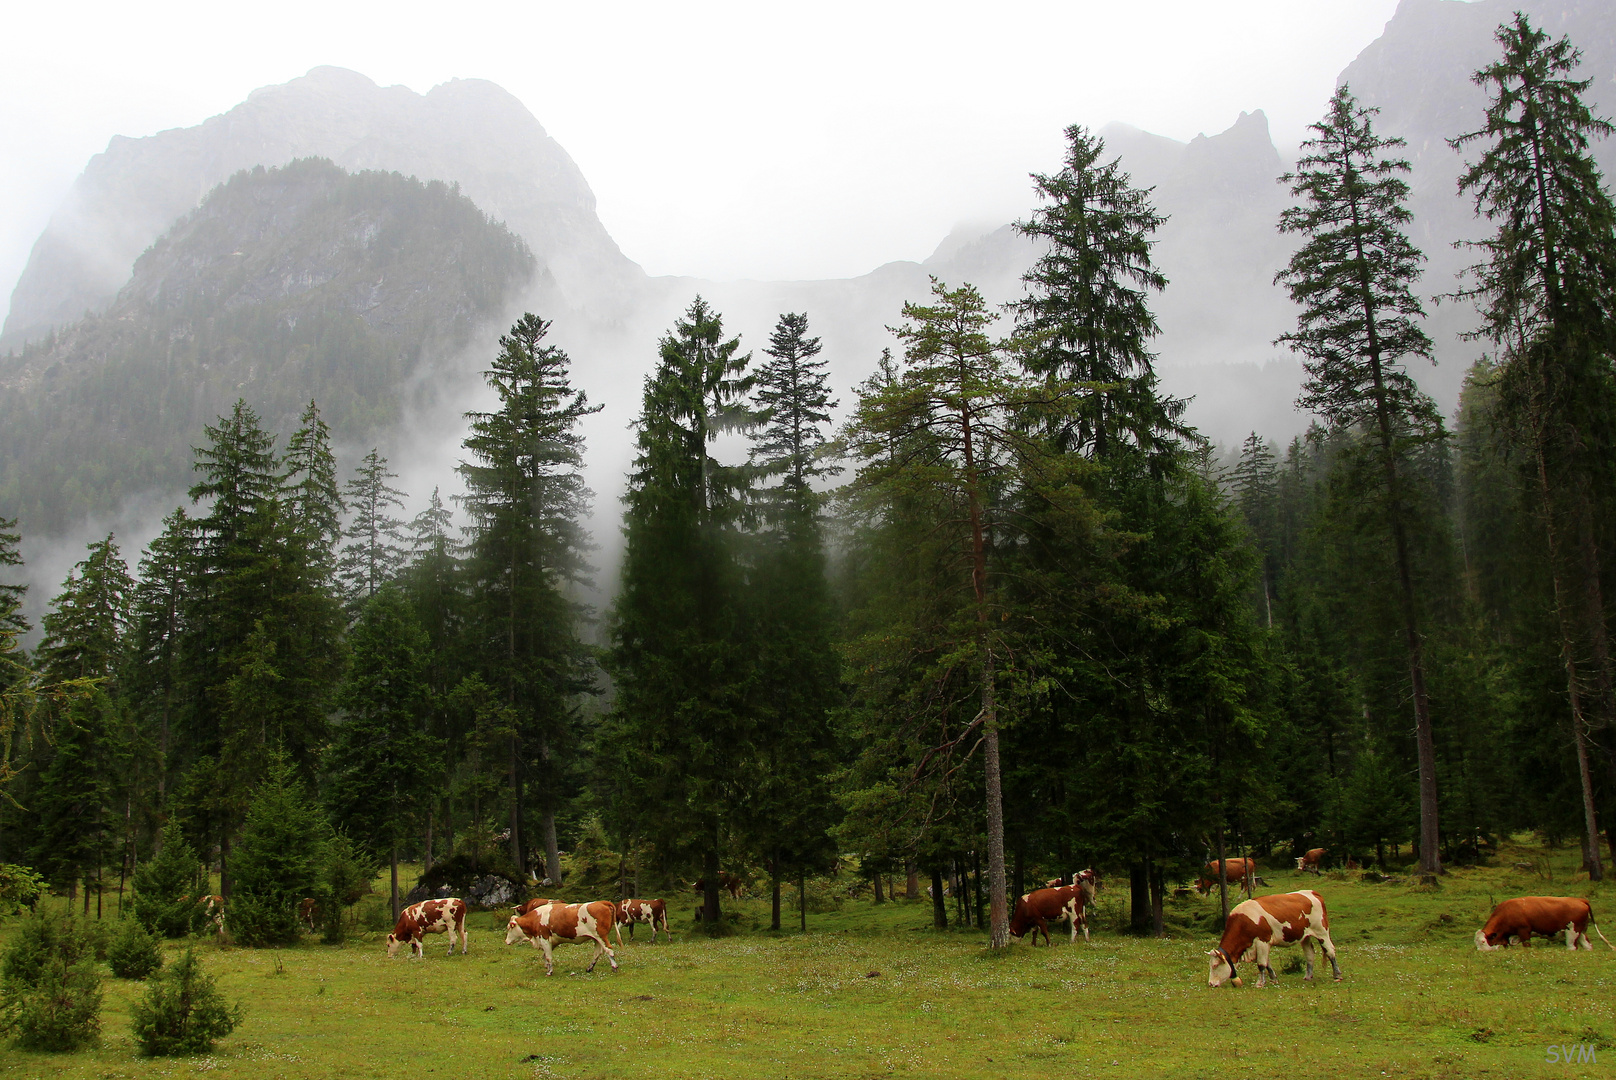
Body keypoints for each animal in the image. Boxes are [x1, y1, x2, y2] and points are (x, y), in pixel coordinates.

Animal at [1208, 885, 1344, 989]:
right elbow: (1267, 963)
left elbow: (1261, 964)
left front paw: (1259, 983)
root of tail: (1313, 892)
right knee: (1310, 953)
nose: (1210, 983)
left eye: (1215, 965)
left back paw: (1337, 975)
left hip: (1322, 932)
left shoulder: (1262, 941)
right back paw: (1308, 976)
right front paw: (1273, 979)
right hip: (1305, 936)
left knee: (1330, 951)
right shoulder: (1263, 944)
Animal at [1480, 892, 1616, 950]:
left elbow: (1527, 946)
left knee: (1572, 947)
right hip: (1581, 932)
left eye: (1483, 942)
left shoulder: (1524, 932)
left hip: (1572, 932)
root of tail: (1580, 900)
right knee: (1587, 945)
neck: (1507, 912)